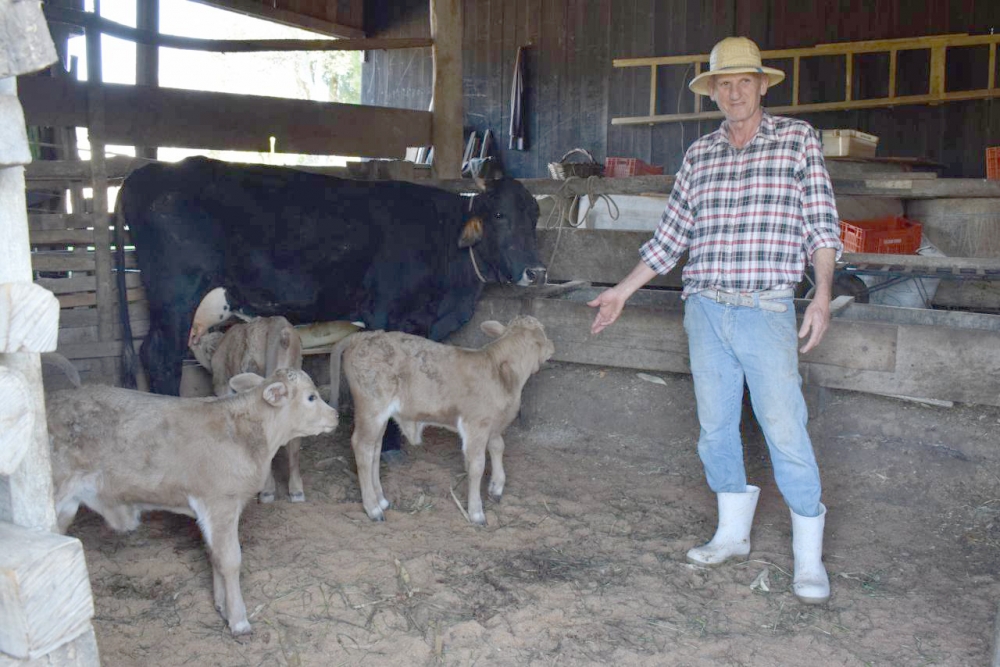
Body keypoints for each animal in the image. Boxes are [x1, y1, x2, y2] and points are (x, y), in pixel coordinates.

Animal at [47, 370, 338, 636]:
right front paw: (239, 621)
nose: (336, 415)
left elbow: (214, 554)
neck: (250, 435)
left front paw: (221, 606)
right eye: (311, 397)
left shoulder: (208, 511)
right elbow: (230, 559)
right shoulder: (221, 503)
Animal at [117, 157, 548, 396]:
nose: (537, 269)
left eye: (535, 216)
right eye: (499, 215)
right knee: (159, 356)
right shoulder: (384, 312)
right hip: (175, 297)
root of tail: (152, 171)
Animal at [334, 316, 556, 524]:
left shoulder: (492, 424)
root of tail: (364, 336)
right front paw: (476, 512)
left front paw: (496, 487)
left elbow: (498, 447)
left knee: (375, 449)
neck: (502, 374)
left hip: (379, 416)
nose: (553, 346)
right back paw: (373, 508)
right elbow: (477, 465)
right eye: (544, 333)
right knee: (362, 447)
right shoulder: (476, 424)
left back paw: (380, 500)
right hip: (371, 408)